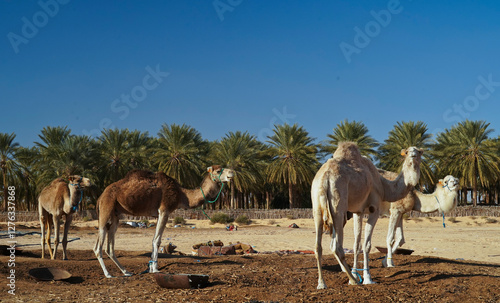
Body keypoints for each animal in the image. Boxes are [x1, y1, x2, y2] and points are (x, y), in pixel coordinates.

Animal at [94, 166, 235, 278]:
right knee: (97, 246)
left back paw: (126, 272)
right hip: (106, 208)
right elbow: (157, 240)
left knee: (109, 247)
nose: (232, 173)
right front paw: (155, 269)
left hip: (115, 215)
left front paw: (151, 267)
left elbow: (153, 239)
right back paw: (108, 274)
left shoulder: (157, 214)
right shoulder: (164, 210)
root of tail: (100, 197)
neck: (181, 194)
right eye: (218, 170)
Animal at [312, 142, 422, 290]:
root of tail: (325, 178)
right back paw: (353, 280)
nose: (413, 155)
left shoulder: (358, 212)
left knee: (318, 246)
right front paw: (368, 278)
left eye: (420, 152)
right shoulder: (373, 209)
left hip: (317, 206)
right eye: (406, 152)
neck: (383, 185)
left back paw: (322, 283)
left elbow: (356, 244)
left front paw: (356, 272)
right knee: (337, 246)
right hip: (338, 206)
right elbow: (367, 244)